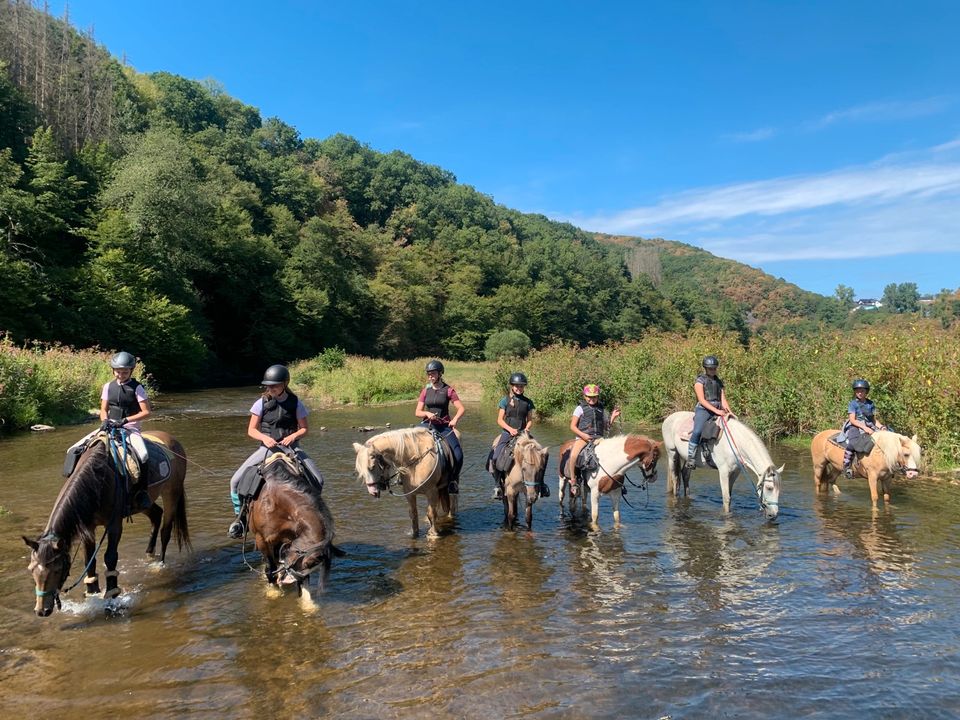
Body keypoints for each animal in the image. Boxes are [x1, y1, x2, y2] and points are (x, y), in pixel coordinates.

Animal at [22, 430, 188, 616]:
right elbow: (89, 559)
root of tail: (172, 440)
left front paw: (112, 594)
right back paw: (149, 554)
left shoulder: (114, 525)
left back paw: (159, 565)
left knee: (166, 531)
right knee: (156, 515)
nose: (41, 610)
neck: (97, 481)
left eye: (57, 570)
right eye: (31, 569)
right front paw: (92, 592)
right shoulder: (87, 527)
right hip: (141, 503)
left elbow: (110, 557)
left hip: (172, 493)